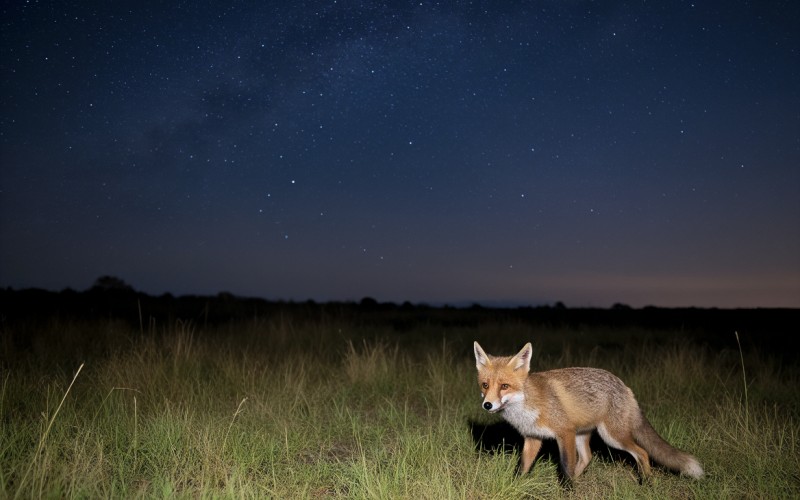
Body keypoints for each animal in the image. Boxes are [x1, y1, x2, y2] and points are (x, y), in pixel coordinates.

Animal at [472, 342, 704, 482]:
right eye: (485, 385)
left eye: (504, 386)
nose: (487, 405)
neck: (525, 405)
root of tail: (624, 386)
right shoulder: (533, 438)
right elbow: (522, 468)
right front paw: (516, 485)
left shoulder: (564, 432)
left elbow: (565, 468)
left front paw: (567, 492)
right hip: (583, 435)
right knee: (588, 457)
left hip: (612, 437)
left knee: (642, 453)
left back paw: (646, 483)